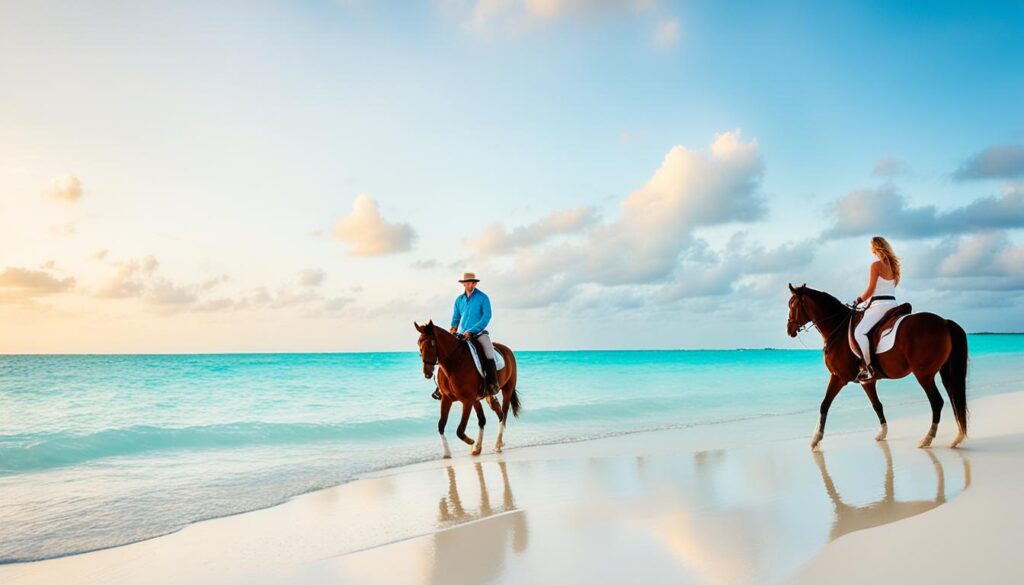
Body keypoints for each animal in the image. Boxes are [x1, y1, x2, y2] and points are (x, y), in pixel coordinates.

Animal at [413, 323, 520, 461]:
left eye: (432, 343)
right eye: (419, 342)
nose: (427, 372)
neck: (455, 363)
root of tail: (507, 350)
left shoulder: (467, 401)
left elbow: (460, 430)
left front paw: (471, 441)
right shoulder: (447, 399)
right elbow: (441, 425)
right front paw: (447, 453)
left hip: (507, 390)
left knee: (504, 414)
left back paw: (497, 444)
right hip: (484, 398)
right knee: (492, 416)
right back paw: (480, 447)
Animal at [782, 286, 966, 450]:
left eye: (793, 305)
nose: (789, 330)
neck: (838, 329)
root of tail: (944, 322)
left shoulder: (838, 377)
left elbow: (824, 404)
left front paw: (815, 439)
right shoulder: (867, 382)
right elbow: (877, 405)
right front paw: (882, 433)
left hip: (924, 375)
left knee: (937, 402)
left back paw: (927, 439)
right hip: (943, 372)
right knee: (954, 399)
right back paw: (958, 437)